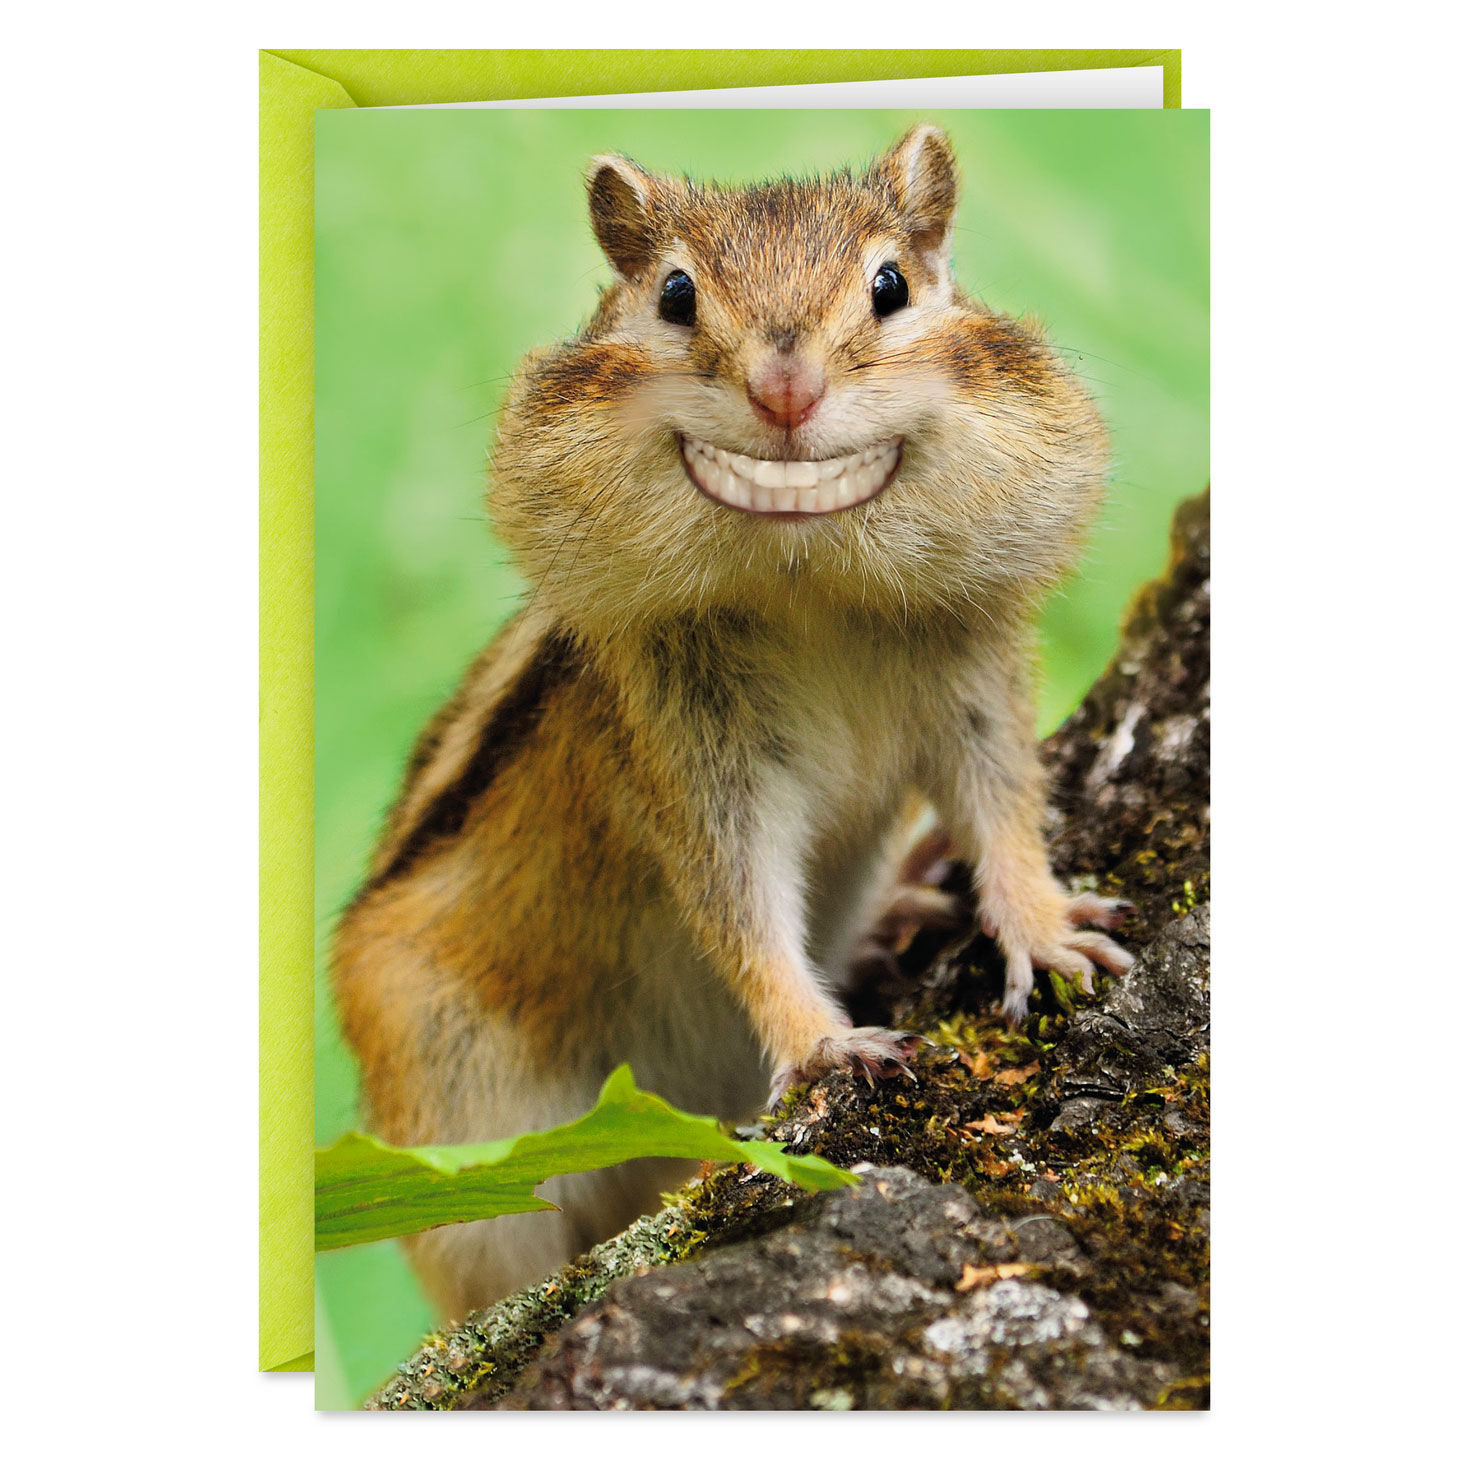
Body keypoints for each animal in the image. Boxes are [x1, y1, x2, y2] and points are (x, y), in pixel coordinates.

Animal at [332, 125, 1134, 1320]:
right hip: (461, 1142)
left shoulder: (973, 674)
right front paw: (822, 1041)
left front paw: (1040, 925)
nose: (784, 386)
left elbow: (1002, 807)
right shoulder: (684, 746)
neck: (811, 581)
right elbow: (739, 904)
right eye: (674, 295)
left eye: (891, 286)